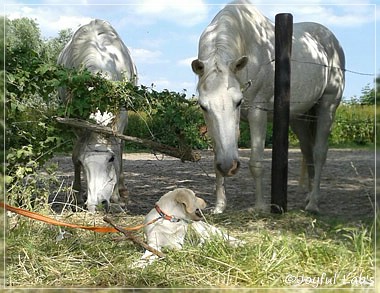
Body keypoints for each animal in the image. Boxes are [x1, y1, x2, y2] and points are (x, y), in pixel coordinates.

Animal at [57, 19, 137, 212]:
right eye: (83, 162)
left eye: (110, 159)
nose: (96, 204)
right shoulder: (76, 121)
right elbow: (75, 153)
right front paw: (77, 194)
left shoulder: (121, 118)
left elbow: (119, 150)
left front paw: (116, 196)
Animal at [191, 0, 346, 214]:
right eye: (203, 106)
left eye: (238, 101)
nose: (229, 166)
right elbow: (217, 161)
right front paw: (219, 207)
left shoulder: (257, 113)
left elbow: (256, 163)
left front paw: (260, 207)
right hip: (299, 118)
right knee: (308, 152)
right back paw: (308, 197)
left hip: (327, 106)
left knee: (319, 153)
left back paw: (313, 203)